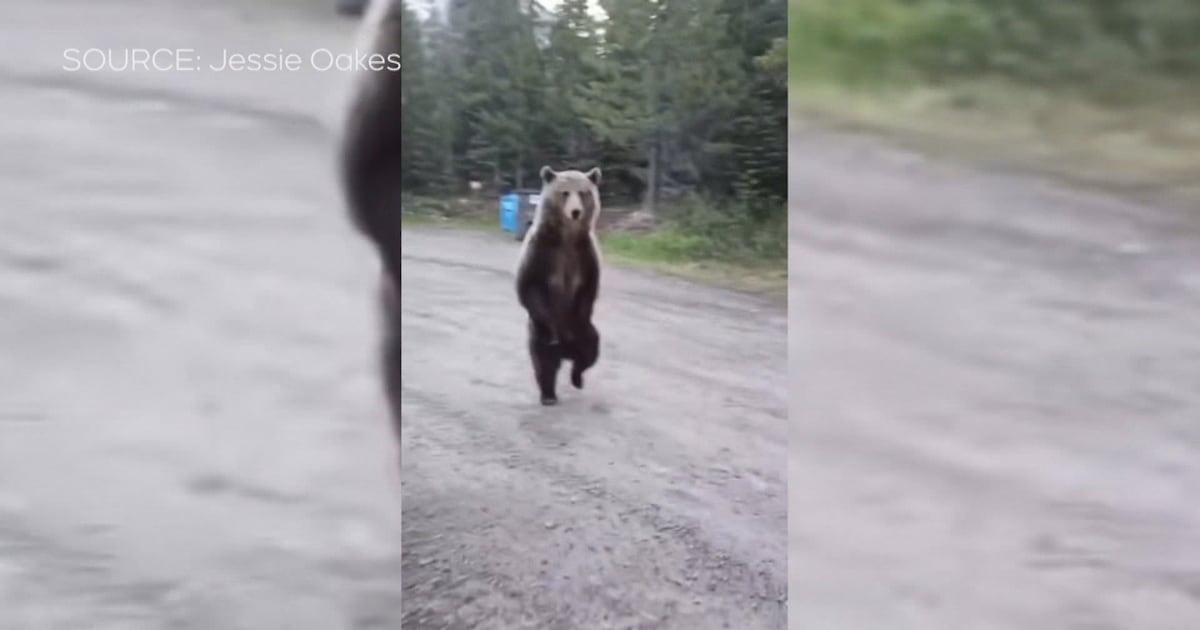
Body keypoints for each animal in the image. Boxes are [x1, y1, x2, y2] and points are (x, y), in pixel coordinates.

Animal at [516, 166, 604, 406]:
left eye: (583, 192)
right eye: (564, 193)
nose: (575, 212)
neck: (566, 238)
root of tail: (566, 351)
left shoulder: (585, 254)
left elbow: (588, 289)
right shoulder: (540, 251)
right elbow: (528, 286)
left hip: (586, 334)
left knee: (589, 350)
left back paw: (577, 378)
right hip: (536, 334)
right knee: (543, 362)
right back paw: (548, 395)